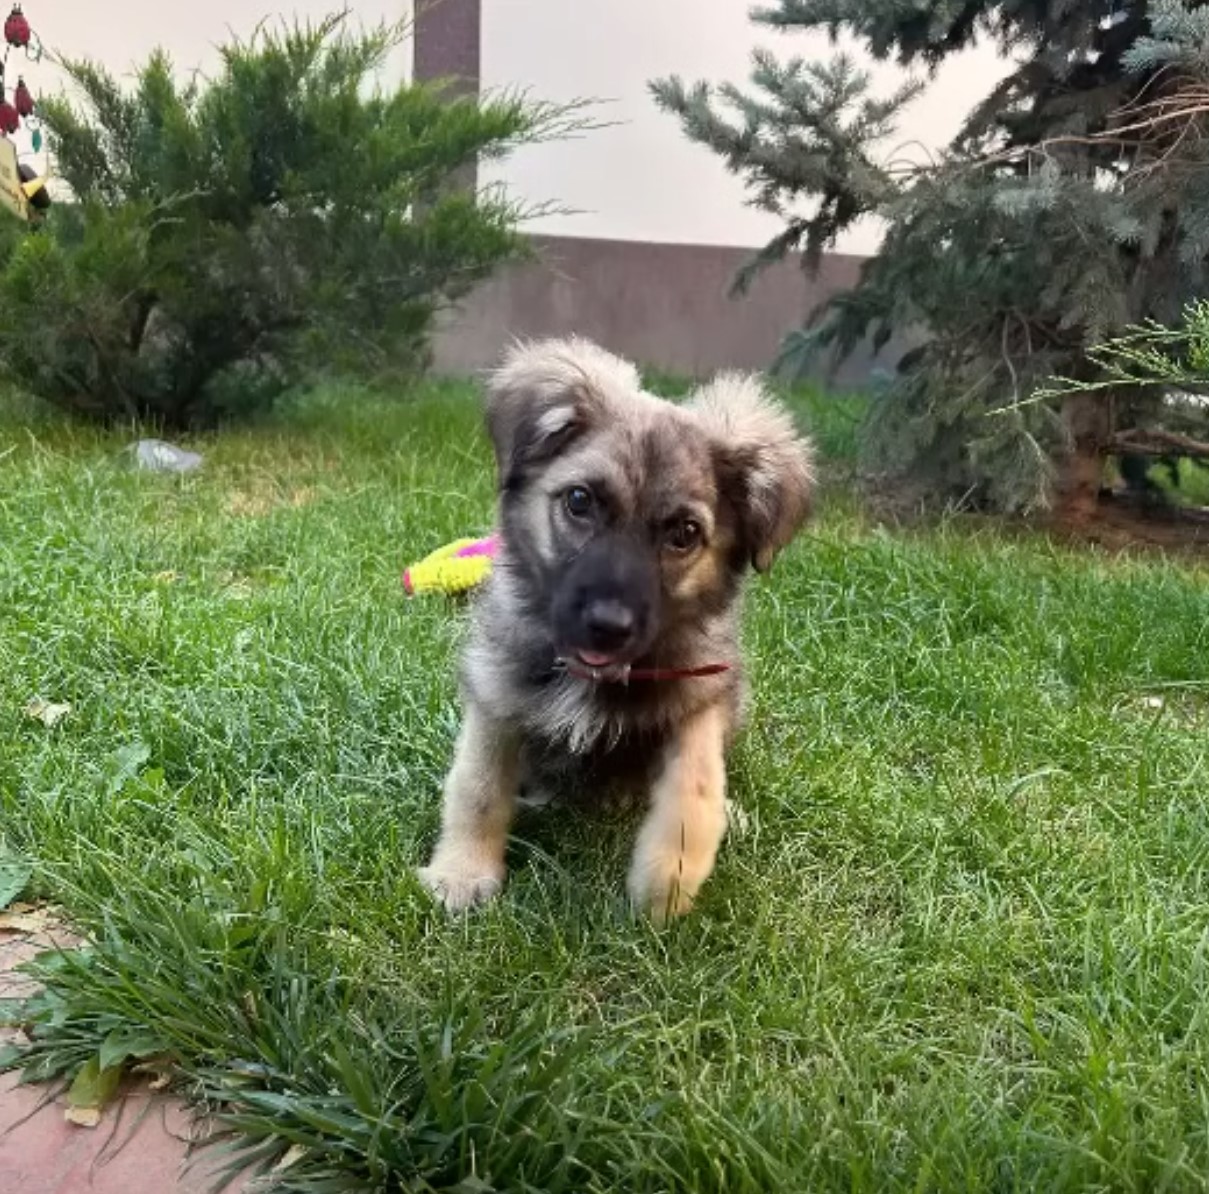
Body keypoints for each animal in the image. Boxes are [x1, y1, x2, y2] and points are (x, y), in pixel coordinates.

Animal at [420, 338, 817, 923]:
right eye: (580, 501)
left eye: (684, 533)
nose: (608, 626)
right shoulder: (497, 691)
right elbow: (478, 784)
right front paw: (463, 873)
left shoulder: (698, 690)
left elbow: (696, 788)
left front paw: (667, 881)